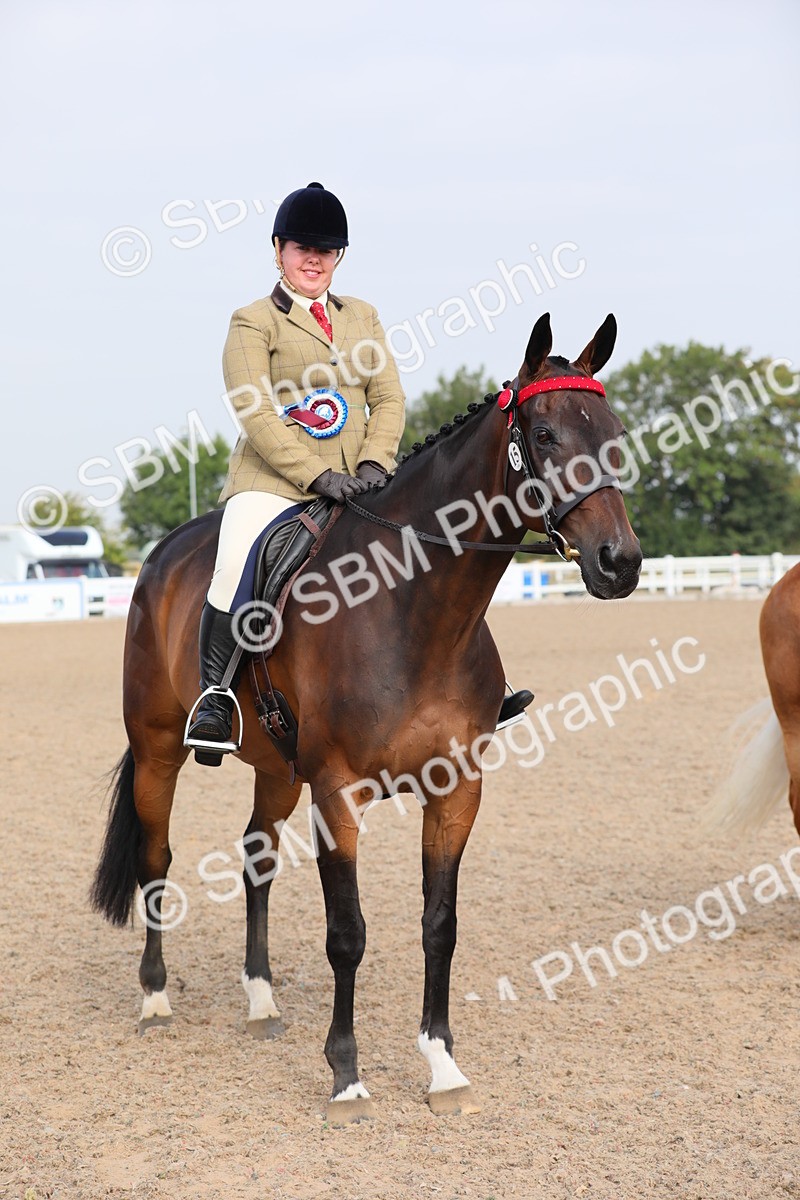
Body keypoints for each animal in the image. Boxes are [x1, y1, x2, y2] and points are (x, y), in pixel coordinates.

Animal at [91, 311, 643, 1123]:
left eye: (614, 432)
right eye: (543, 435)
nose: (619, 562)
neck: (413, 608)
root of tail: (162, 555)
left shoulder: (456, 789)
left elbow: (440, 926)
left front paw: (442, 1066)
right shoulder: (337, 793)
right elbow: (346, 934)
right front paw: (346, 1075)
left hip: (275, 767)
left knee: (256, 856)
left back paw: (260, 1001)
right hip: (160, 747)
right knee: (156, 857)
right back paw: (156, 1000)